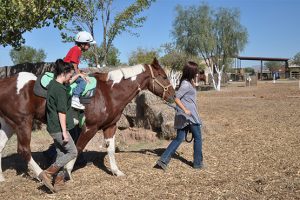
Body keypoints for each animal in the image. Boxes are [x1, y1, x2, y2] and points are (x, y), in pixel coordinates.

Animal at [0, 57, 175, 181]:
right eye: (163, 76)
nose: (173, 95)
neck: (109, 93)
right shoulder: (90, 127)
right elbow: (78, 148)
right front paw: (67, 171)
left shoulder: (110, 126)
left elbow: (110, 149)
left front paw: (116, 171)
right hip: (23, 122)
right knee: (24, 150)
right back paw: (42, 175)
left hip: (9, 124)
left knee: (1, 146)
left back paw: (2, 178)